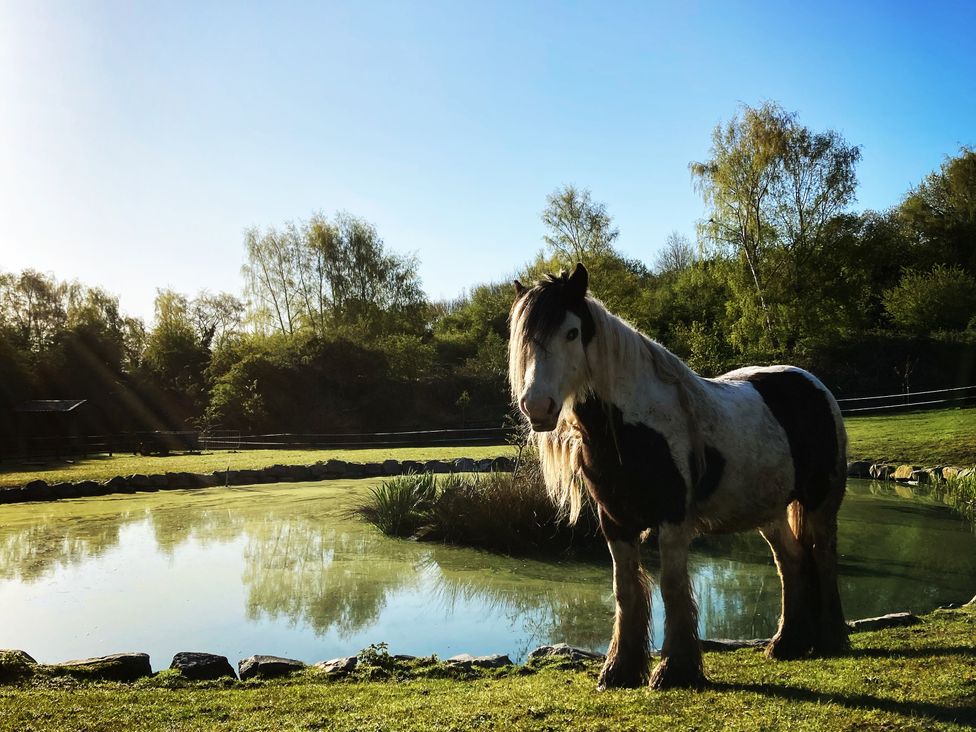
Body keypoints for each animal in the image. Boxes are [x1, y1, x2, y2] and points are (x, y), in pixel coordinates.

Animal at [508, 264, 852, 692]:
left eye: (571, 332)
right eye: (523, 339)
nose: (537, 407)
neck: (634, 427)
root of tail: (812, 383)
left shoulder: (672, 519)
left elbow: (672, 588)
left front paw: (675, 669)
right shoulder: (615, 522)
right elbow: (625, 590)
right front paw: (620, 670)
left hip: (820, 501)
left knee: (822, 556)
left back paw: (831, 639)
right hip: (769, 512)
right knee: (791, 561)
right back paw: (787, 643)